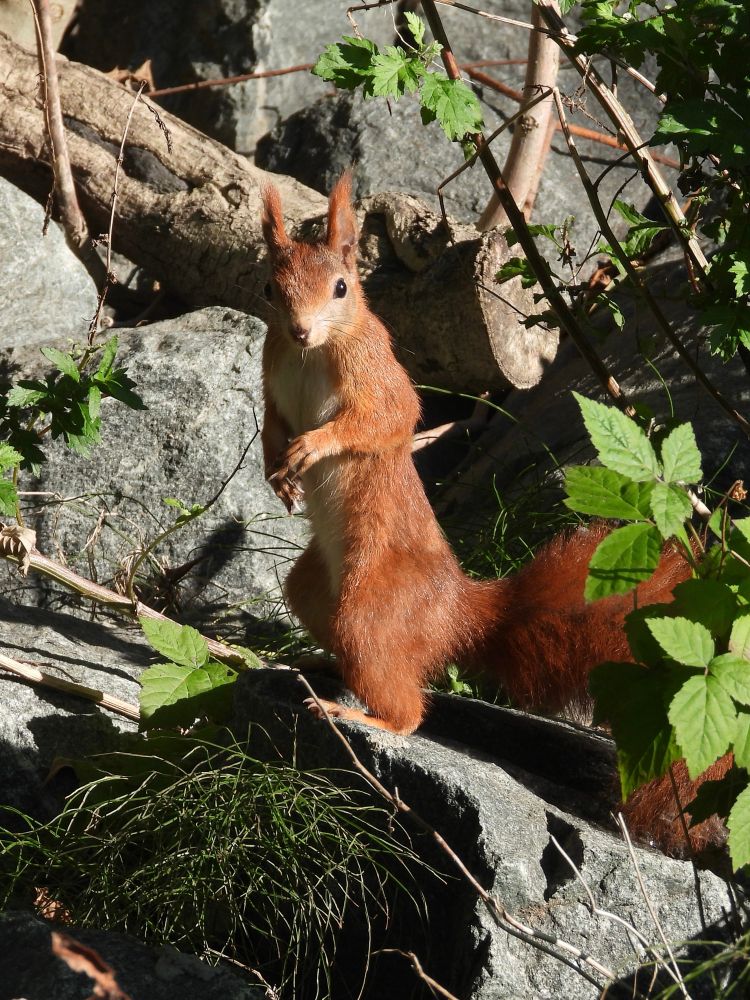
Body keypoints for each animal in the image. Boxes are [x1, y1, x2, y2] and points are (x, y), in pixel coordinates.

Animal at [259, 173, 731, 857]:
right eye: (270, 287)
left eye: (342, 287)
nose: (299, 331)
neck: (309, 356)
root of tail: (456, 614)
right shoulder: (273, 379)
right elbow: (273, 425)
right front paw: (277, 475)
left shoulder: (378, 374)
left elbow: (386, 420)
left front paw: (312, 448)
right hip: (313, 591)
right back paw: (321, 668)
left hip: (369, 608)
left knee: (409, 709)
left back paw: (353, 711)